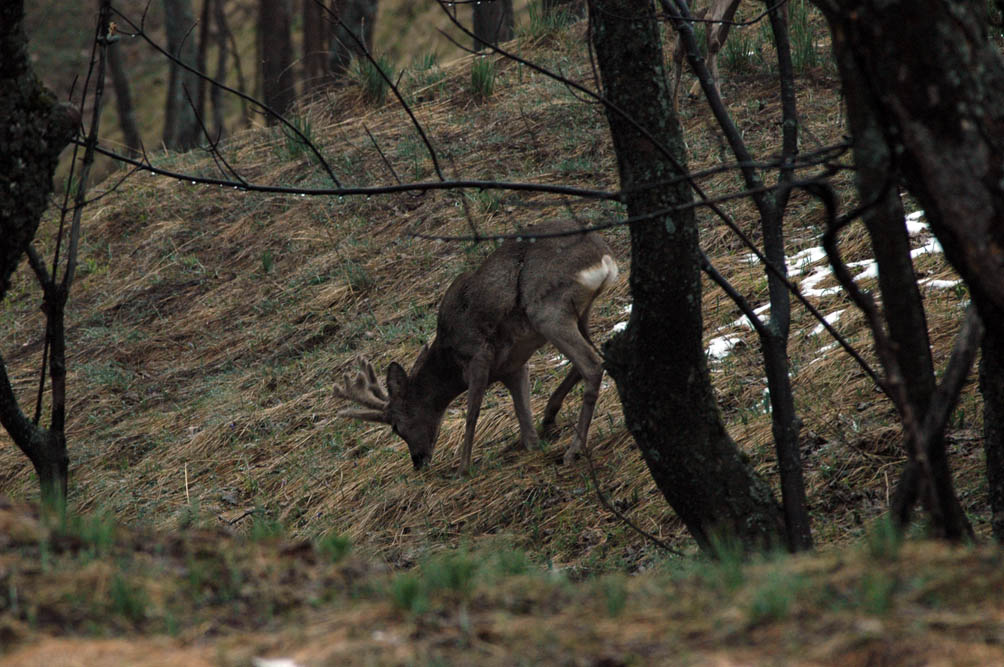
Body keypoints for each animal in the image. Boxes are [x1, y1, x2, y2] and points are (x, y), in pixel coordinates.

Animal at [335, 220, 618, 472]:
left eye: (395, 425)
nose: (417, 461)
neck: (449, 358)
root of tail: (604, 257)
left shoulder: (478, 355)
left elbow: (472, 414)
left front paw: (462, 470)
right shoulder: (512, 367)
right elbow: (523, 418)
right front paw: (532, 445)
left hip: (547, 311)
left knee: (591, 365)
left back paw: (573, 450)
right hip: (580, 313)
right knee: (593, 356)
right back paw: (552, 419)